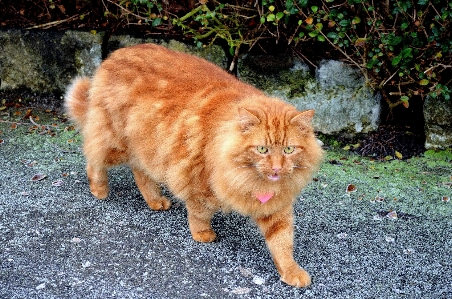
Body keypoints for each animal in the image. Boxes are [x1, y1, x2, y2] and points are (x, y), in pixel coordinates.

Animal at [64, 44, 324, 288]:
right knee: (93, 157)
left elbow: (282, 242)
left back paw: (154, 200)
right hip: (114, 142)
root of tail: (117, 54)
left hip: (147, 148)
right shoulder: (199, 179)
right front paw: (202, 233)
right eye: (262, 149)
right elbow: (199, 211)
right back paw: (99, 190)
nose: (277, 168)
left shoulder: (276, 206)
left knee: (140, 173)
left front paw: (291, 271)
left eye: (289, 150)